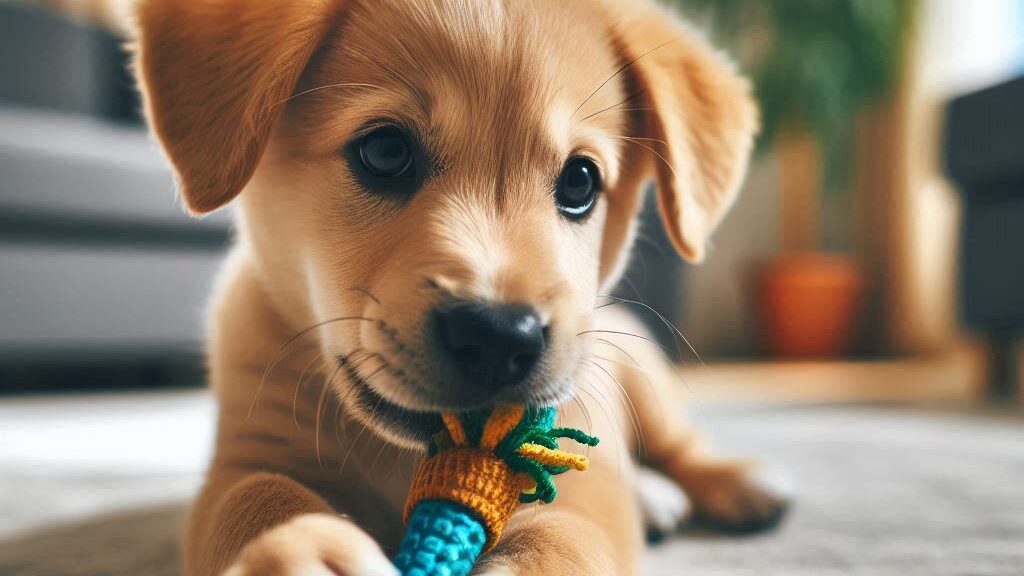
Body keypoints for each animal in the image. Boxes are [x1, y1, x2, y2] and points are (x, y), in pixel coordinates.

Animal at [130, 0, 790, 569]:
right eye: (385, 151)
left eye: (580, 182)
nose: (500, 338)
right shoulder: (247, 454)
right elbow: (257, 499)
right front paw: (299, 551)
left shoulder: (589, 493)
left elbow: (564, 540)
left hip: (643, 370)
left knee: (679, 444)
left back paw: (735, 483)